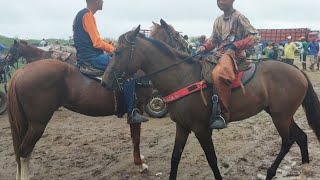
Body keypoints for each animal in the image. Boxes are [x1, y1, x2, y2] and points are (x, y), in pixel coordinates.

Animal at [101, 26, 320, 179]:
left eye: (118, 52)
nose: (104, 82)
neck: (182, 78)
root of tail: (297, 71)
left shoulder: (201, 129)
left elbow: (212, 160)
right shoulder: (182, 126)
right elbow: (175, 157)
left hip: (280, 117)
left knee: (288, 140)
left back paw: (270, 172)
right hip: (281, 115)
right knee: (301, 137)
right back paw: (304, 169)